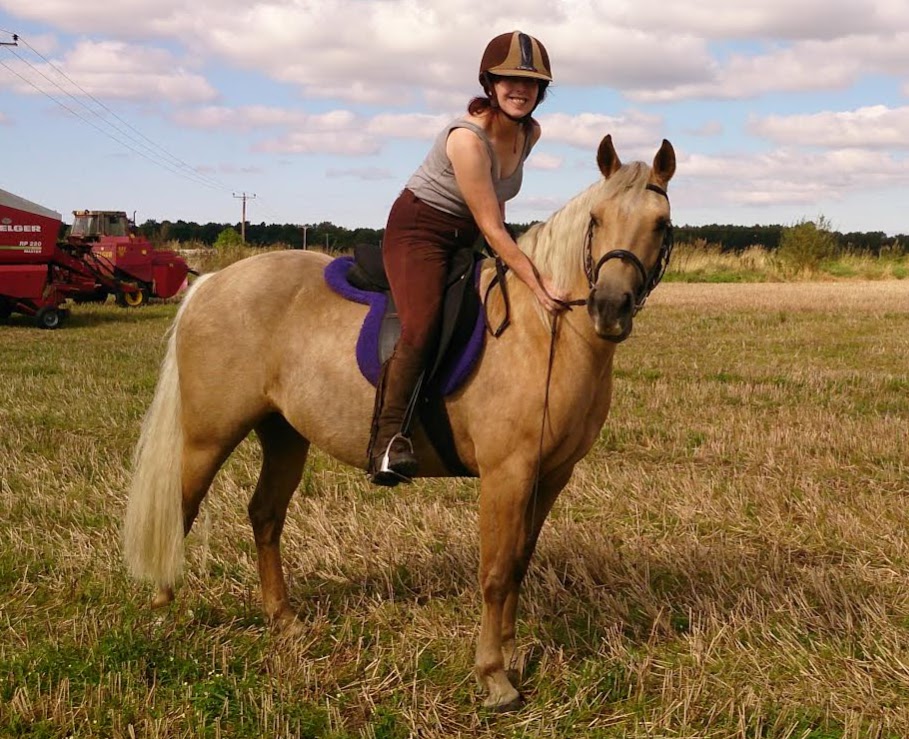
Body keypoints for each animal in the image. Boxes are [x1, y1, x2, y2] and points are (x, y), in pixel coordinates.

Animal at [122, 134, 672, 712]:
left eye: (661, 224)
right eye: (597, 217)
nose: (610, 308)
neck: (543, 328)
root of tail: (211, 282)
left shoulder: (551, 475)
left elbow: (520, 560)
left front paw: (512, 651)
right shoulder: (507, 474)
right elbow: (496, 572)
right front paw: (493, 675)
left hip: (284, 433)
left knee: (266, 516)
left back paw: (284, 621)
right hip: (208, 436)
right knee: (180, 510)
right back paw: (162, 612)